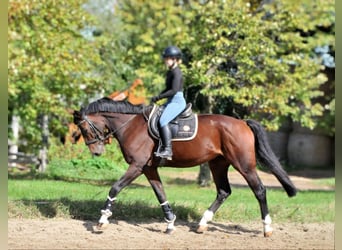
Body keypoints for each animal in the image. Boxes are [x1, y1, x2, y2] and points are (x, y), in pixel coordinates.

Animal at [73, 97, 296, 236]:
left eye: (84, 128)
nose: (96, 152)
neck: (131, 125)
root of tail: (242, 123)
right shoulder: (148, 168)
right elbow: (160, 194)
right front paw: (170, 223)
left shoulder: (137, 166)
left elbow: (115, 187)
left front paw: (103, 219)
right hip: (218, 164)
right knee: (223, 191)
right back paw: (202, 224)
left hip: (244, 164)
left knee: (259, 190)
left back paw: (267, 228)